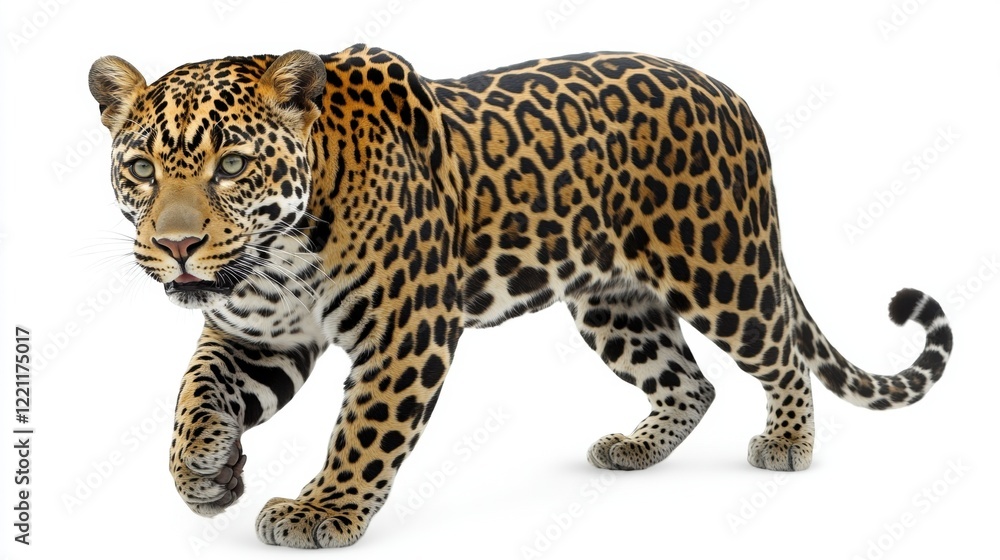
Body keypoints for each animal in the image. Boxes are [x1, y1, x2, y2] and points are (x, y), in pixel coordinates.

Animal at [88, 44, 953, 548]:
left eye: (232, 165)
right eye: (141, 169)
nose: (176, 246)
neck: (279, 252)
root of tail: (729, 94)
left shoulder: (405, 331)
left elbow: (364, 430)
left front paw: (322, 512)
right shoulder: (260, 332)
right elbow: (196, 394)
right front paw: (205, 475)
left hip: (723, 269)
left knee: (779, 354)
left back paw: (789, 444)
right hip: (613, 303)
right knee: (690, 382)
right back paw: (636, 449)